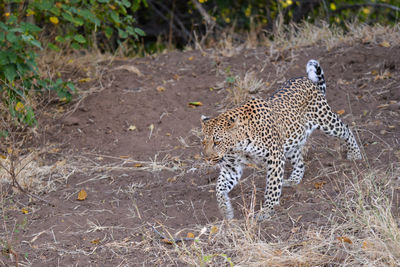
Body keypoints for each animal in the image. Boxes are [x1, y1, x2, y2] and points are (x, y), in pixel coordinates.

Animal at [202, 59, 360, 221]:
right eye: (204, 142)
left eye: (217, 142)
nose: (207, 158)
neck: (239, 146)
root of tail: (306, 80)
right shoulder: (231, 167)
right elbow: (219, 188)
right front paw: (226, 211)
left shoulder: (274, 157)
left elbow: (272, 186)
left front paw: (267, 210)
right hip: (290, 143)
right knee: (300, 162)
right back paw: (293, 179)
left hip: (326, 120)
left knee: (346, 129)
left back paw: (355, 154)